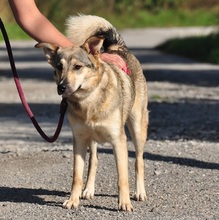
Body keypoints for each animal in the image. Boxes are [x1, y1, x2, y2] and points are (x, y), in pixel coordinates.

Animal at [36, 15, 149, 211]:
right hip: (92, 139)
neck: (88, 100)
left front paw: (124, 203)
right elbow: (77, 176)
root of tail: (117, 48)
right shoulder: (79, 140)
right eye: (59, 67)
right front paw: (73, 200)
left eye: (77, 67)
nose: (61, 87)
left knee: (139, 161)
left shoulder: (118, 140)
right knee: (94, 161)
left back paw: (140, 193)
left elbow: (122, 177)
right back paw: (88, 191)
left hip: (137, 128)